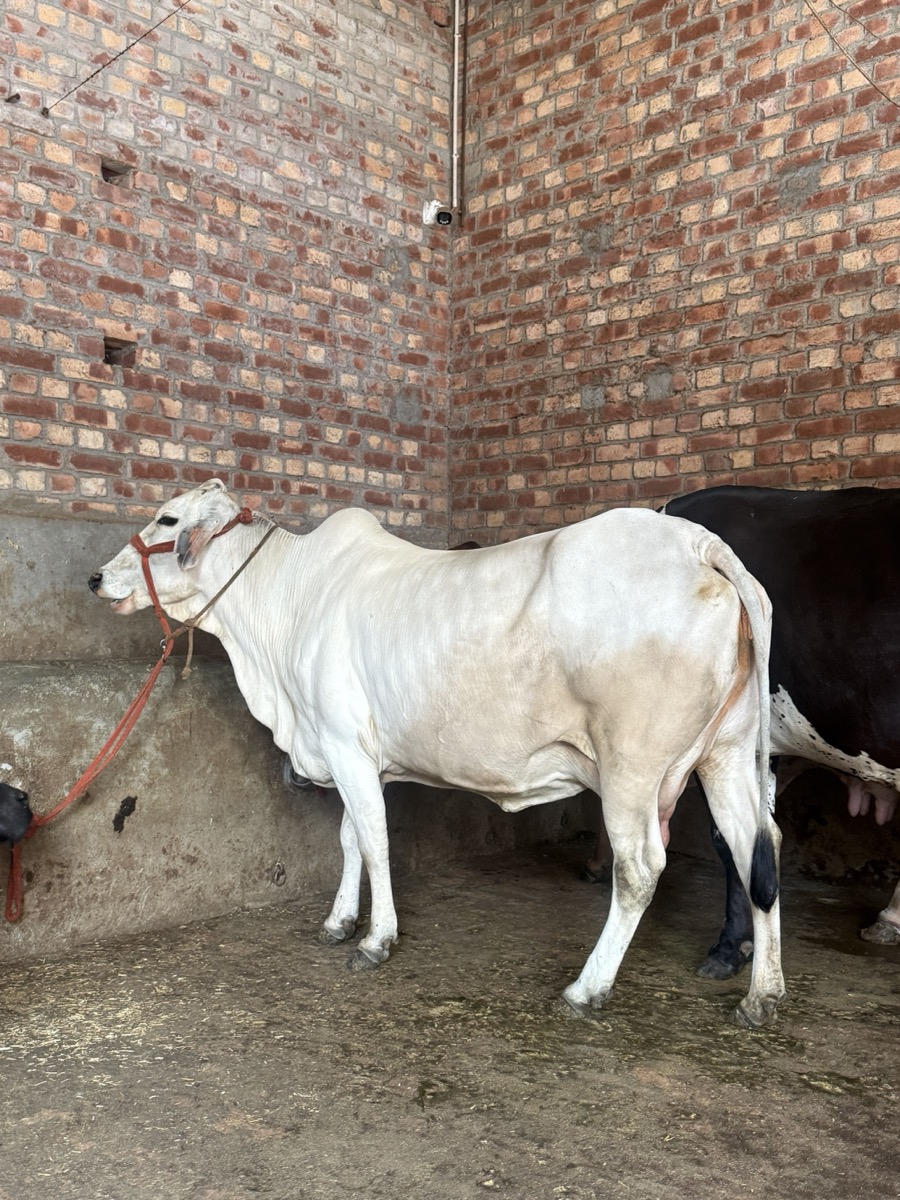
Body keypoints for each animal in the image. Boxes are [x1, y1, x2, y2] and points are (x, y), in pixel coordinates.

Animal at [88, 478, 784, 1027]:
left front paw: (376, 940)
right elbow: (350, 838)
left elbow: (373, 840)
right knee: (757, 846)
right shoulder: (357, 755)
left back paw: (587, 988)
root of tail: (695, 543)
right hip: (727, 755)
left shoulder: (343, 742)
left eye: (168, 520)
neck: (284, 610)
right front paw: (340, 922)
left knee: (640, 869)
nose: (95, 577)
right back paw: (763, 994)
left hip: (631, 768)